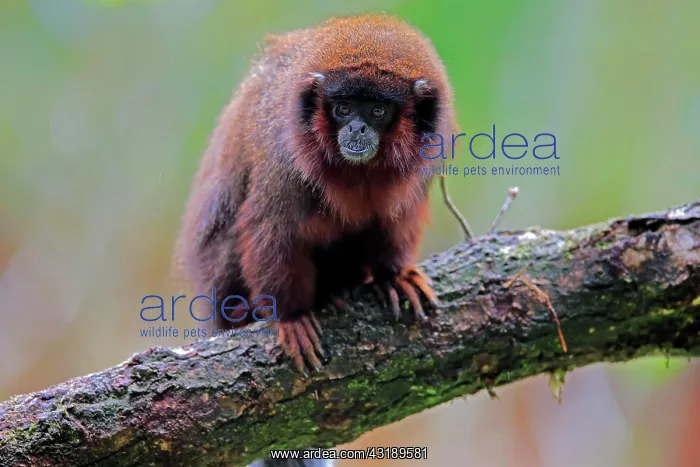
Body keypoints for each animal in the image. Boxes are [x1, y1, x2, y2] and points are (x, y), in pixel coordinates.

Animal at [173, 14, 457, 376]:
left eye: (377, 111)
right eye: (343, 109)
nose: (357, 128)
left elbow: (399, 218)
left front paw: (393, 274)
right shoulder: (285, 159)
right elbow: (272, 229)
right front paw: (291, 317)